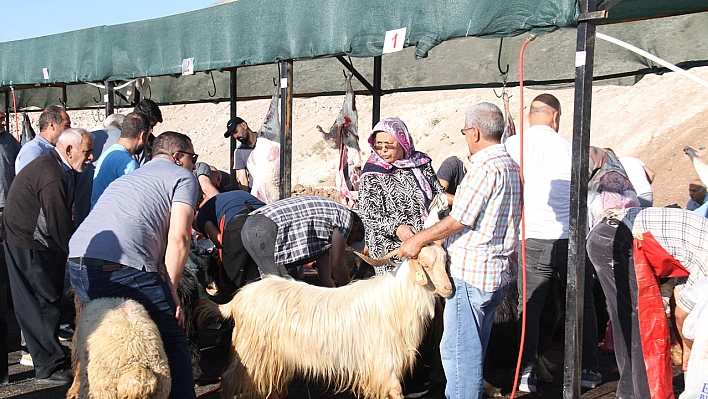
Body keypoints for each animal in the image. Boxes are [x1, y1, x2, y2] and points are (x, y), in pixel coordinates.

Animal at [198, 244, 454, 399]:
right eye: (426, 265)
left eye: (446, 262)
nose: (448, 289)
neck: (396, 300)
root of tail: (237, 300)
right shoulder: (383, 362)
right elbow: (395, 391)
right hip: (250, 352)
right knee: (228, 379)